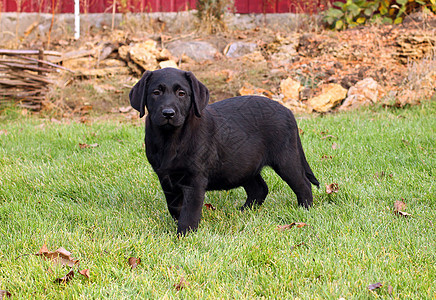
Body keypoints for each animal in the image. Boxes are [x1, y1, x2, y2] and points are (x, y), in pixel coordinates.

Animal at [127, 68, 318, 234]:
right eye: (156, 93)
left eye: (181, 93)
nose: (168, 113)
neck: (171, 138)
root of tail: (288, 111)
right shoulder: (165, 178)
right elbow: (174, 206)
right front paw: (176, 226)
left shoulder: (195, 180)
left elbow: (189, 212)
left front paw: (184, 234)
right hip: (243, 164)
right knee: (260, 189)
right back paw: (243, 211)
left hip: (285, 158)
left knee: (303, 184)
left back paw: (304, 210)